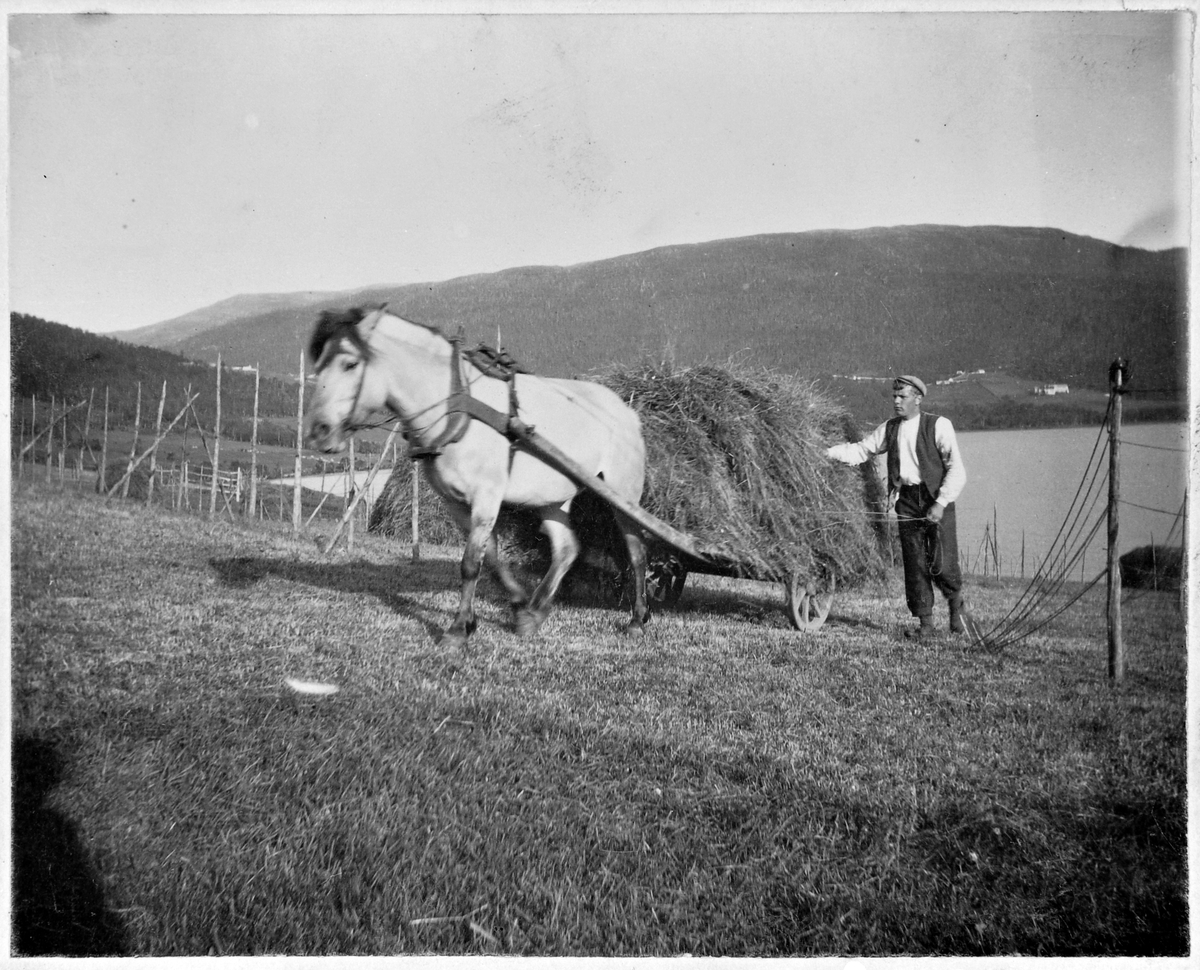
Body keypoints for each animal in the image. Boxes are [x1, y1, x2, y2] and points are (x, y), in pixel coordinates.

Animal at [304, 307, 652, 648]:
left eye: (350, 363)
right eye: (318, 365)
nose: (318, 431)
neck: (456, 403)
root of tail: (626, 410)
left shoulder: (487, 496)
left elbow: (471, 564)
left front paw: (458, 630)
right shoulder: (456, 503)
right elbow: (493, 562)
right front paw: (518, 610)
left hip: (623, 494)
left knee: (636, 552)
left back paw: (637, 619)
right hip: (553, 497)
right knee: (567, 549)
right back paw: (538, 608)